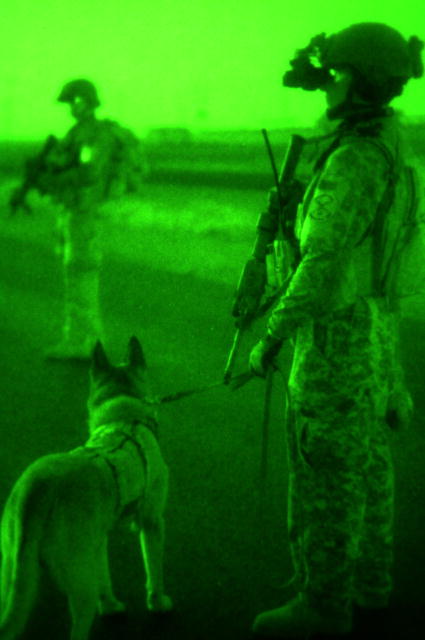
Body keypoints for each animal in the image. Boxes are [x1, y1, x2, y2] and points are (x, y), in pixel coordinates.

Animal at [0, 338, 172, 636]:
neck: (123, 418)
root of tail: (37, 490)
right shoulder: (152, 522)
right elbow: (154, 569)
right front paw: (157, 602)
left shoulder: (98, 541)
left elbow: (105, 577)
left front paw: (111, 605)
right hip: (81, 589)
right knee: (79, 626)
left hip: (11, 575)